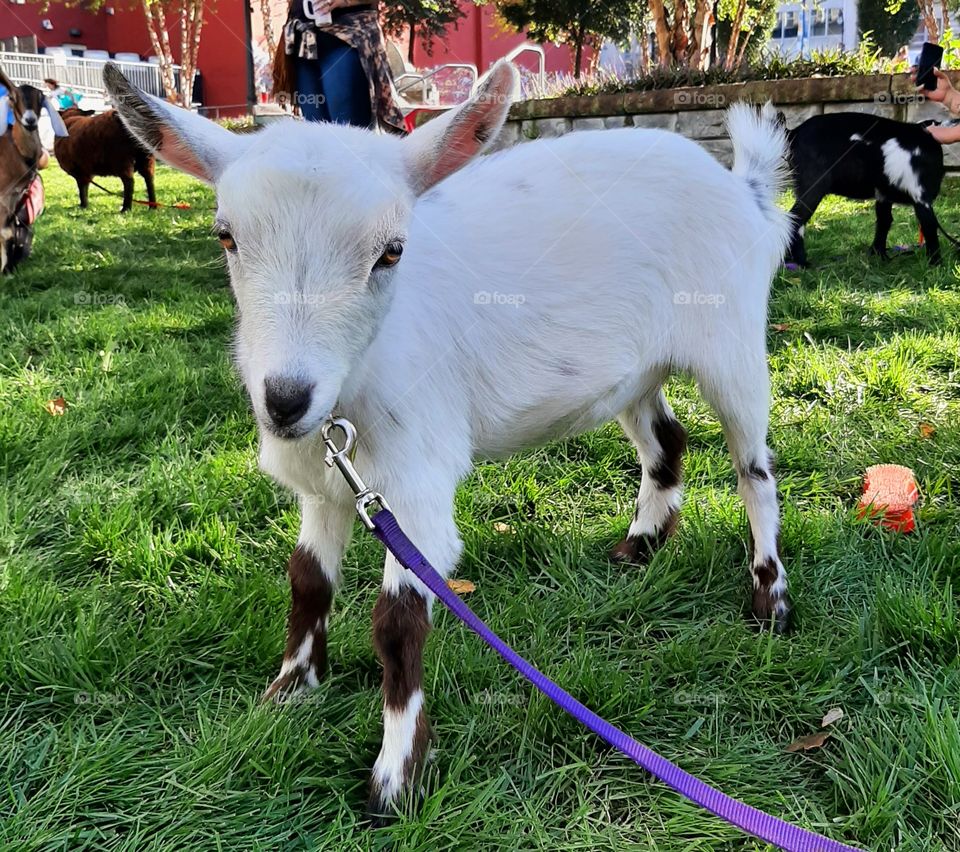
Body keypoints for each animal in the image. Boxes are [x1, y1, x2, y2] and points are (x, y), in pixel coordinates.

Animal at [105, 62, 793, 821]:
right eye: (225, 236)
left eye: (392, 251)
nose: (285, 399)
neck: (353, 385)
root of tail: (743, 189)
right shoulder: (327, 481)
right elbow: (307, 580)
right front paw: (290, 688)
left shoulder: (416, 481)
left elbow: (398, 621)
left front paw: (396, 775)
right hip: (632, 370)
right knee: (666, 439)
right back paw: (641, 544)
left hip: (733, 343)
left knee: (753, 469)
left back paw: (770, 599)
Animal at [784, 112, 946, 266]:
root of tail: (794, 132)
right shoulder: (921, 197)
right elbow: (930, 226)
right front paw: (935, 263)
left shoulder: (883, 196)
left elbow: (884, 222)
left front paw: (880, 257)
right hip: (813, 188)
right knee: (795, 220)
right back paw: (801, 262)